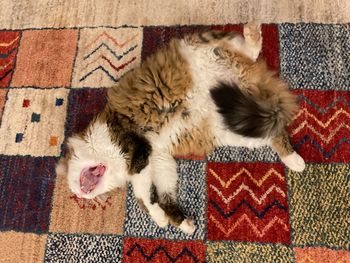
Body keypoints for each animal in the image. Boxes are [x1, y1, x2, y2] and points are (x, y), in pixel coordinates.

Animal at [56, 23, 304, 235]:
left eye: (74, 187)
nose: (79, 195)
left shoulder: (136, 146)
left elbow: (144, 195)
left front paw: (161, 217)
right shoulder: (159, 159)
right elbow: (155, 196)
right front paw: (177, 222)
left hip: (202, 47)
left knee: (246, 50)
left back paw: (252, 32)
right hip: (236, 130)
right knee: (274, 133)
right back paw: (295, 161)